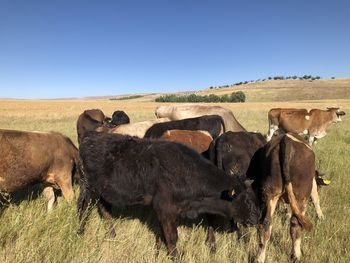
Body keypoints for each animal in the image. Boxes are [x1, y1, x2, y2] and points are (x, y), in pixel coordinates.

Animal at [77, 132, 260, 258]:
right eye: (247, 202)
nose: (257, 219)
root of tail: (90, 137)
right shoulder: (165, 209)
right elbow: (172, 238)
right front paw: (175, 256)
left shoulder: (170, 211)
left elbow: (161, 235)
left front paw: (157, 253)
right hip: (87, 187)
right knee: (83, 208)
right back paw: (80, 232)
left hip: (104, 190)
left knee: (104, 210)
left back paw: (112, 235)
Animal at [242, 134, 316, 263]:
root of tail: (286, 141)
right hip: (301, 196)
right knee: (295, 223)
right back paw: (296, 255)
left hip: (270, 194)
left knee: (265, 223)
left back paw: (259, 258)